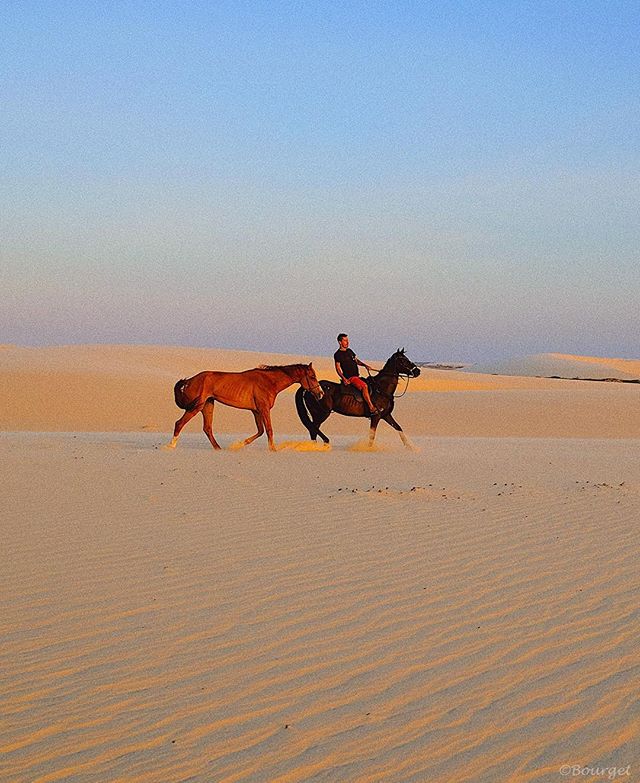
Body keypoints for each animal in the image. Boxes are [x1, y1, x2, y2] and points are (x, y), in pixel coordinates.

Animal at [167, 363, 323, 451]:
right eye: (312, 376)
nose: (320, 394)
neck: (269, 382)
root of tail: (190, 380)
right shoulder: (263, 409)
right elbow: (269, 430)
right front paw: (273, 450)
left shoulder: (256, 411)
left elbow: (260, 431)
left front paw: (240, 444)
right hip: (197, 407)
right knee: (179, 423)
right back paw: (171, 446)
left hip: (208, 405)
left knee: (207, 428)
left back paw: (218, 448)